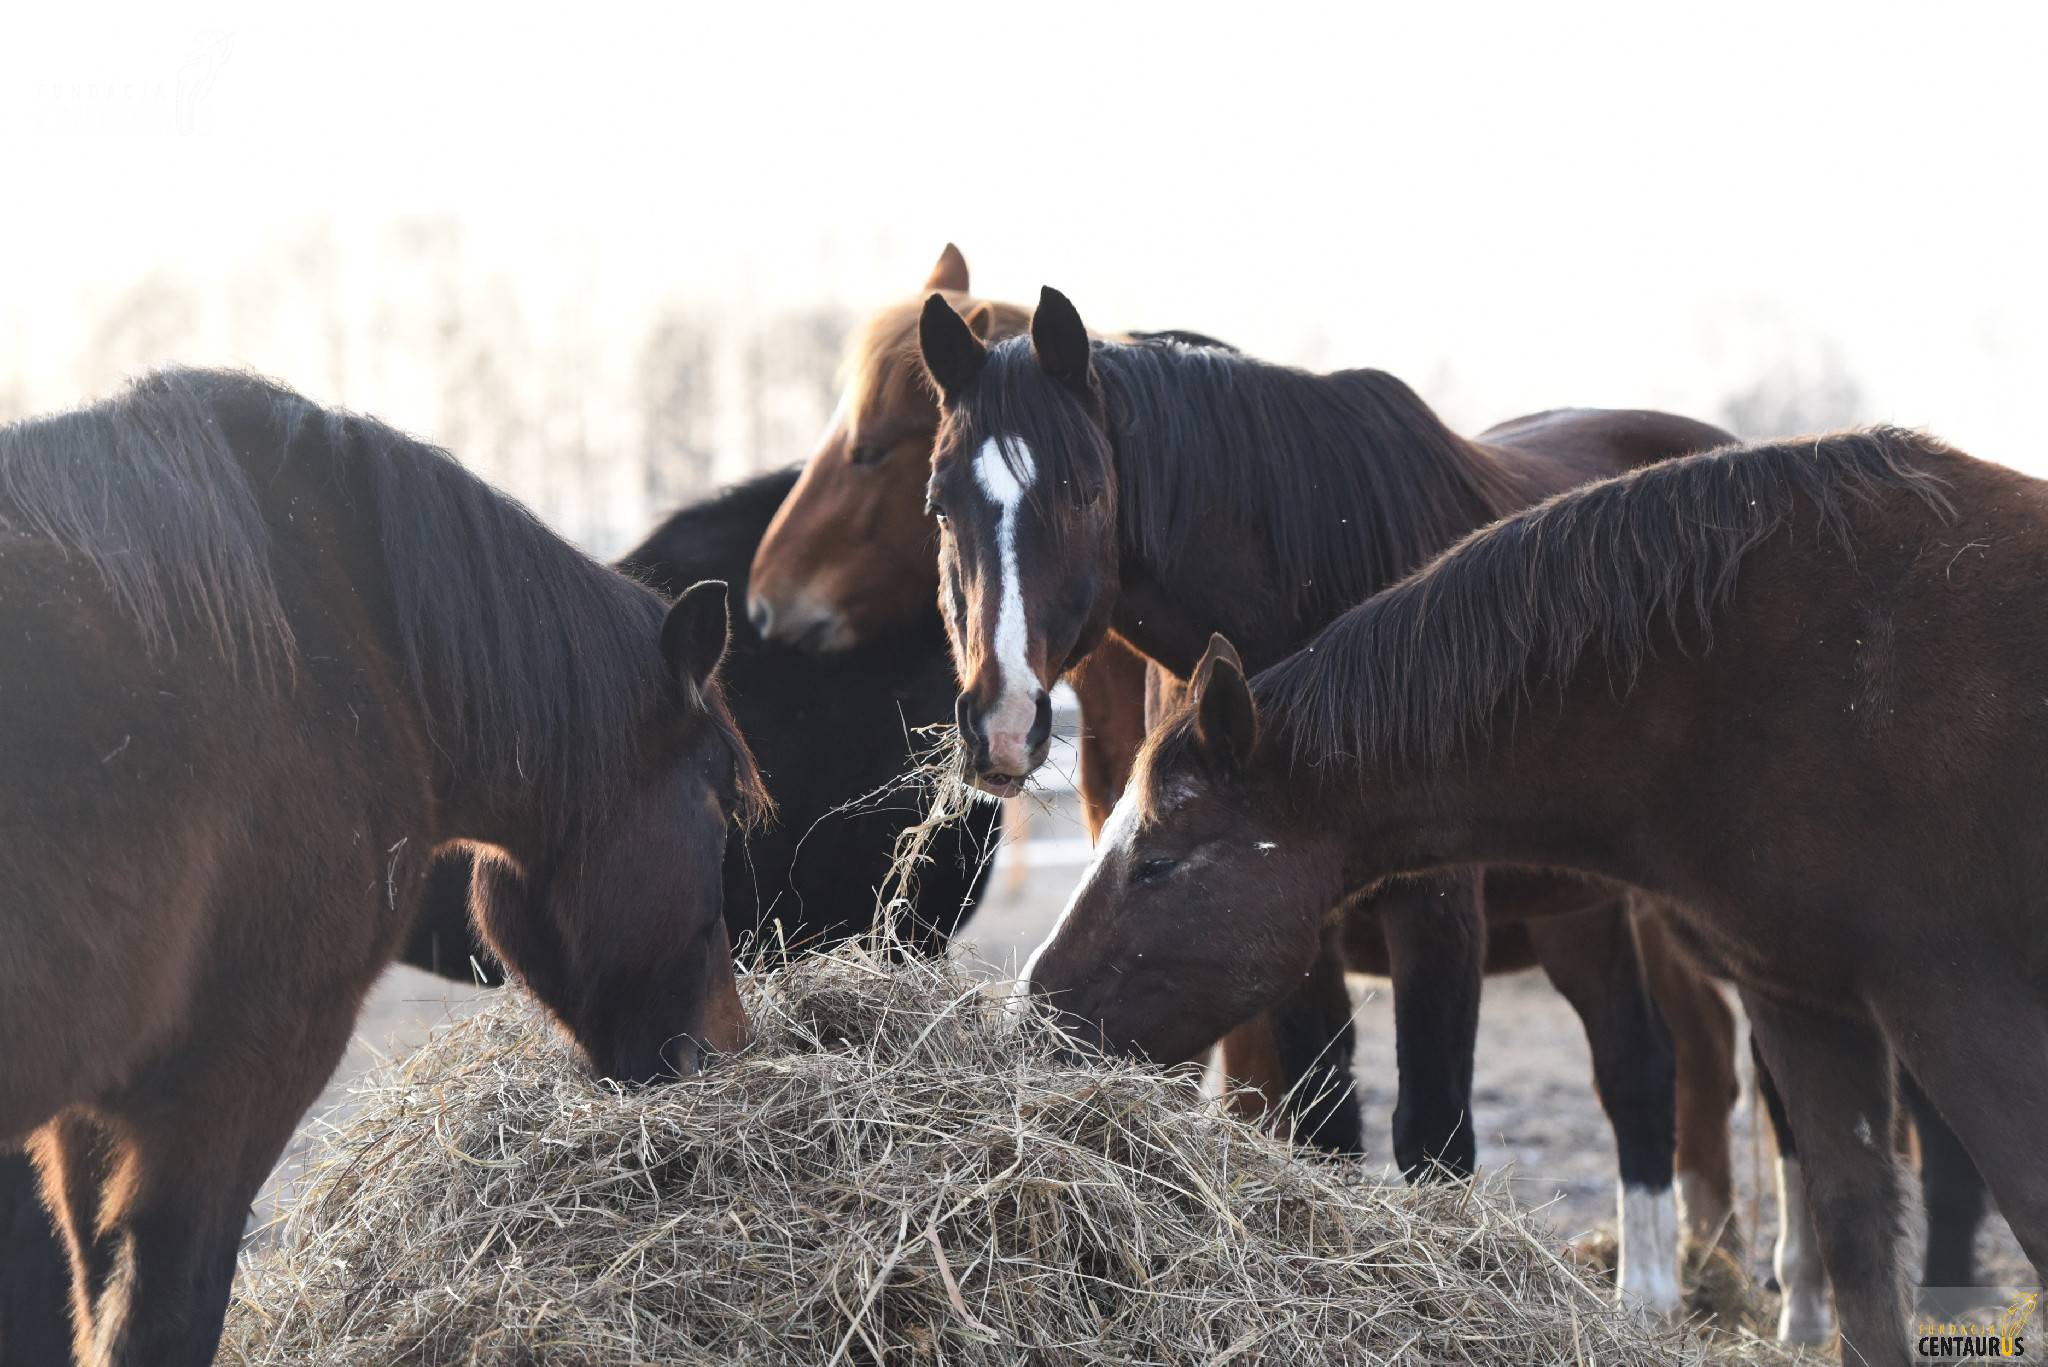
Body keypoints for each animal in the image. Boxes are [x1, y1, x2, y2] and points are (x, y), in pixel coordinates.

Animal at [0, 370, 770, 1367]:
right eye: (718, 810)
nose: (729, 1042)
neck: (339, 654)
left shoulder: (88, 1118)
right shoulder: (234, 1075)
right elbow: (167, 1313)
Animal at [921, 282, 1736, 1311]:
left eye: (1084, 492)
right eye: (940, 503)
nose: (1000, 721)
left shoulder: (1434, 912)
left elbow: (1433, 1135)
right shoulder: (1273, 912)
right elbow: (1324, 1127)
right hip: (1579, 910)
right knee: (1639, 1066)